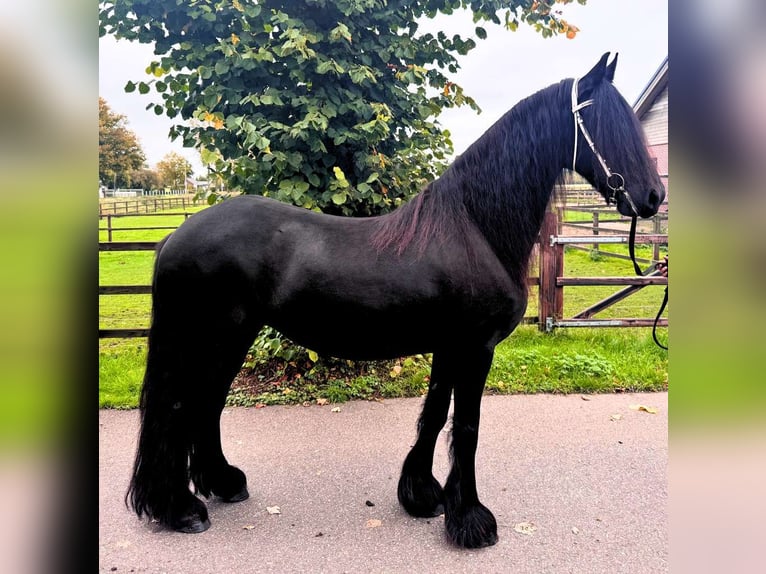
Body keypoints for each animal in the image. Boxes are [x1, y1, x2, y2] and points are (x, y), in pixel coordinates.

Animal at [125, 53, 664, 549]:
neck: (474, 227)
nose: (653, 197)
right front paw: (471, 520)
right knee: (179, 406)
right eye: (602, 123)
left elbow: (435, 414)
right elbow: (466, 427)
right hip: (210, 336)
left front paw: (422, 496)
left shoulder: (449, 346)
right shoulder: (476, 347)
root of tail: (175, 237)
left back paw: (221, 484)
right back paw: (180, 509)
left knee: (207, 403)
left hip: (233, 336)